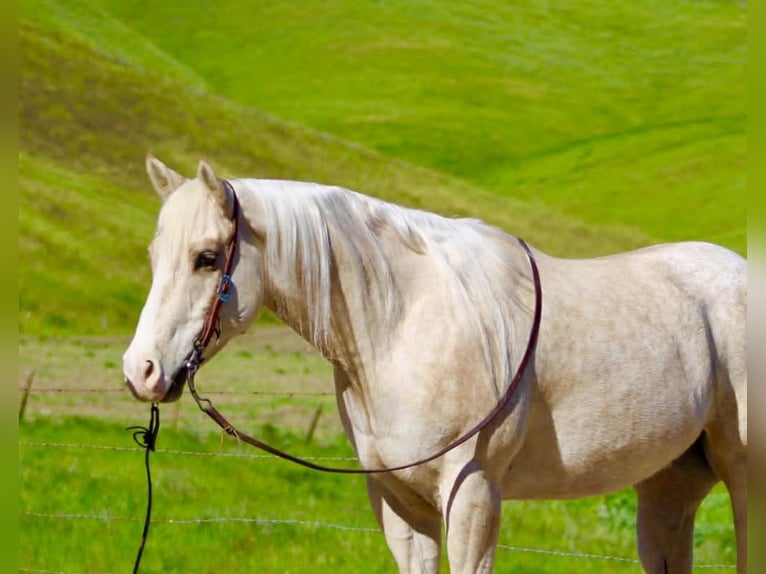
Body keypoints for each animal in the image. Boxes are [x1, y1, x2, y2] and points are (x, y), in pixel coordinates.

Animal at [123, 157, 747, 574]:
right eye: (153, 255)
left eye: (207, 258)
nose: (140, 371)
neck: (403, 324)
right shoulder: (401, 506)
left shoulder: (472, 498)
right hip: (670, 484)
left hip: (744, 475)